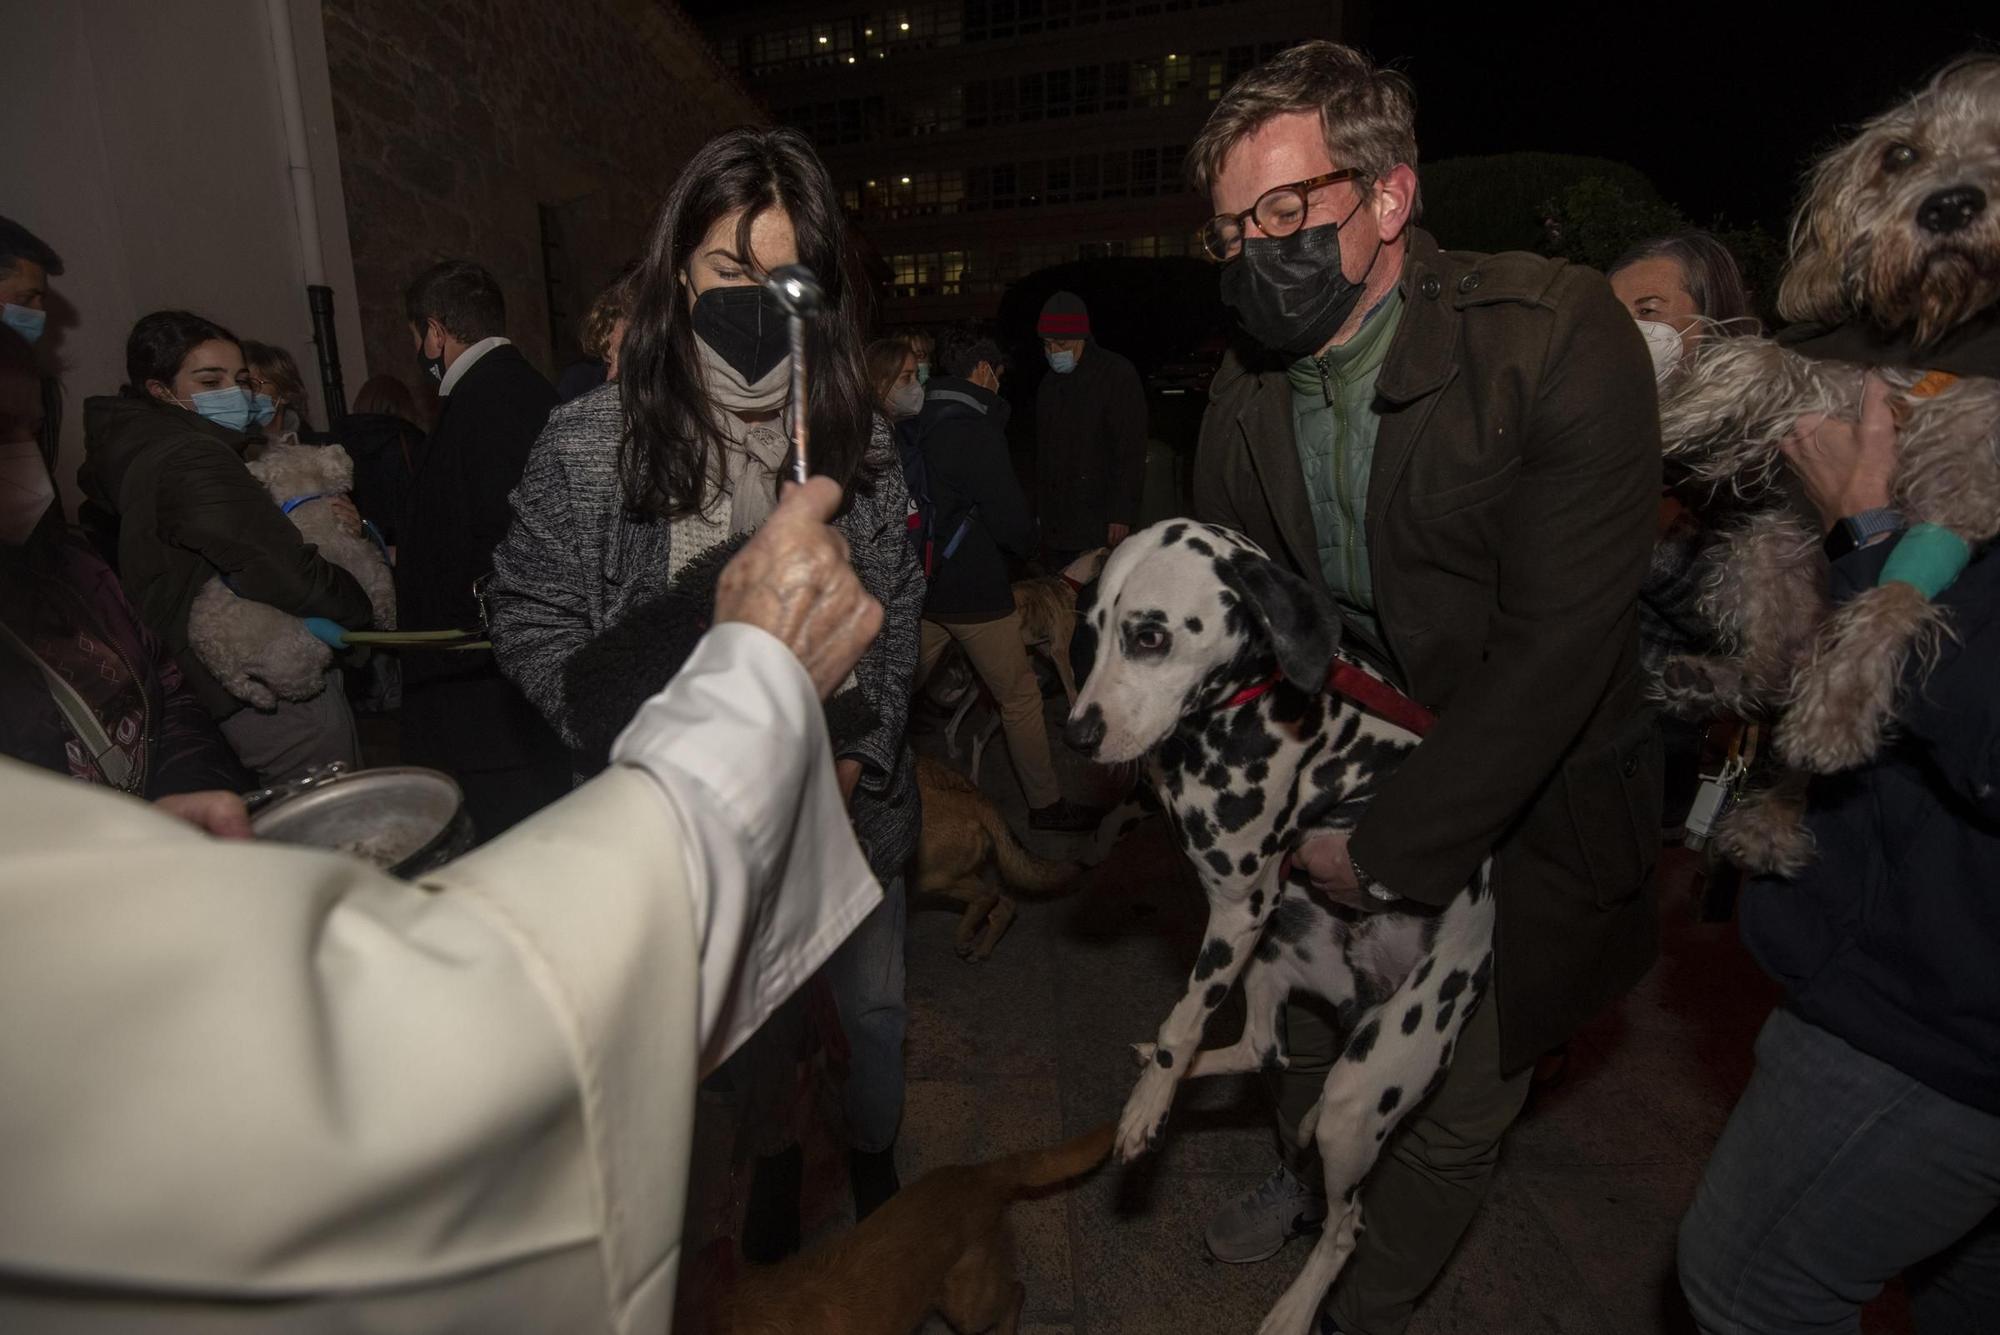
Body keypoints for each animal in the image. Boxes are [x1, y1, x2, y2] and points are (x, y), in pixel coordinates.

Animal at [188, 443, 394, 707]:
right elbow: (384, 592)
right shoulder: (370, 569)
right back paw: (316, 684)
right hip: (292, 657)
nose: (338, 447)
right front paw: (388, 621)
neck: (305, 507)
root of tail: (216, 656)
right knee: (296, 684)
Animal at [916, 751, 1080, 959]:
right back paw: (981, 951)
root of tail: (971, 793)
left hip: (932, 878)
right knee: (1005, 905)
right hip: (951, 873)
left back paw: (963, 938)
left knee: (988, 895)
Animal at [1072, 519, 1496, 1335]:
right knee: (1264, 1048)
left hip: (1357, 1101)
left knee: (1345, 1225)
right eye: (1094, 631)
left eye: (1150, 635)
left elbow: (1182, 1022)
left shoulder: (1238, 906)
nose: (1078, 734)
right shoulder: (1238, 912)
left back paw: (1295, 1309)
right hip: (1276, 949)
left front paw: (1149, 1105)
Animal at [1656, 54, 2000, 875]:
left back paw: (1777, 805)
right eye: (1900, 154)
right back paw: (1712, 679)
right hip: (1761, 551)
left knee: (1799, 683)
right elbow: (1763, 361)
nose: (1949, 206)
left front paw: (1842, 703)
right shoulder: (1836, 382)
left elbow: (1896, 595)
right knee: (1767, 675)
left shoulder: (1964, 496)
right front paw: (1677, 410)